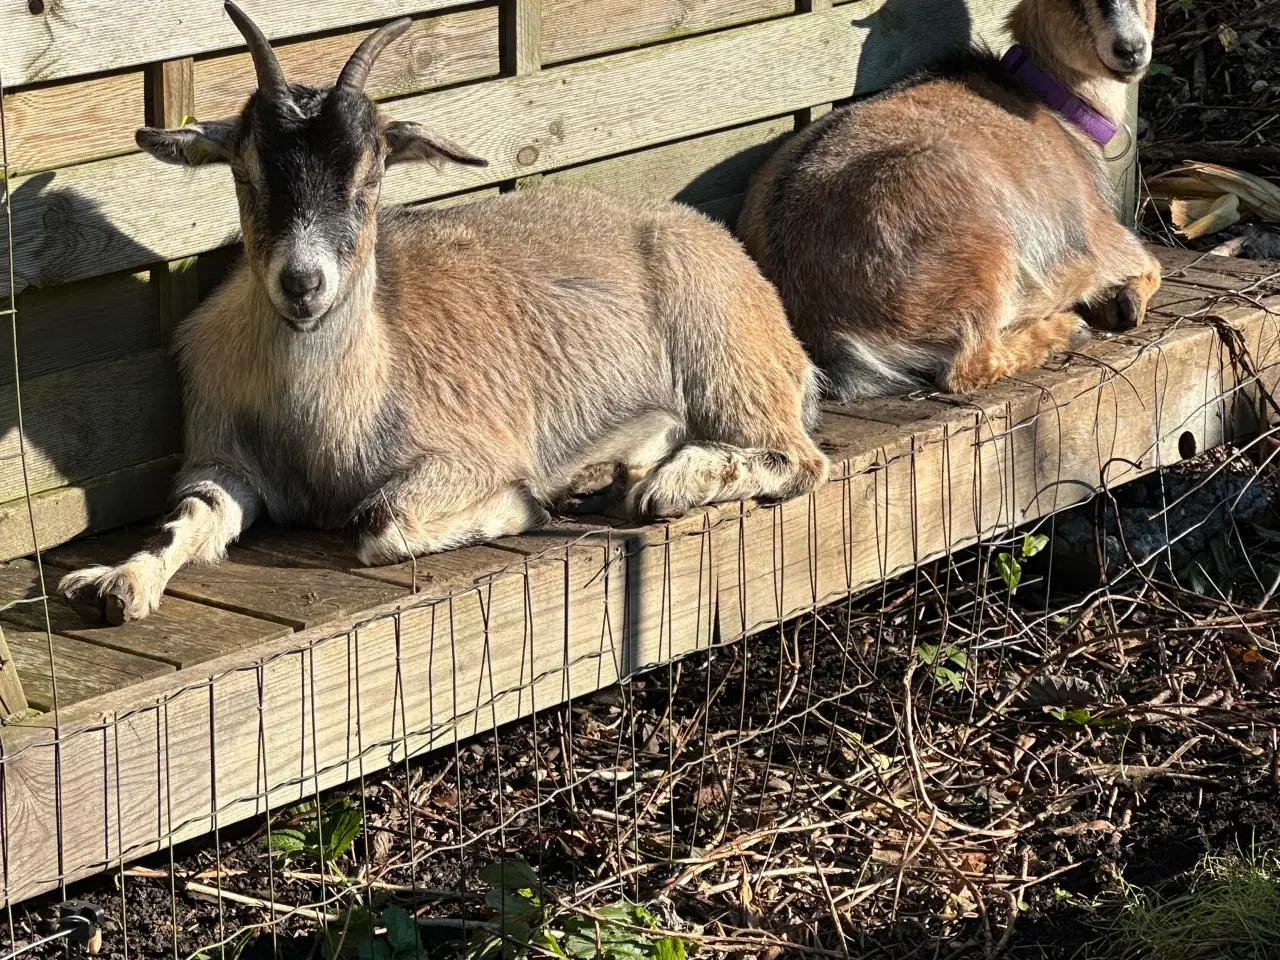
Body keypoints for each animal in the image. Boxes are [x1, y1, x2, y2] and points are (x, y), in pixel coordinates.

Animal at [60, 3, 824, 627]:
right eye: (246, 172)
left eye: (371, 176)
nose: (302, 284)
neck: (326, 417)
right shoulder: (223, 459)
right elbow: (188, 516)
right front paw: (118, 583)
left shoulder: (465, 453)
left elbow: (381, 520)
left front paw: (525, 503)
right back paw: (612, 472)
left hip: (725, 359)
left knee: (798, 458)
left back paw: (660, 487)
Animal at [737, 0, 1167, 401]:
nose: (1130, 50)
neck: (1050, 103)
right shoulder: (1096, 233)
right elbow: (1151, 264)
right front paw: (1123, 300)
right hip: (985, 251)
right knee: (967, 365)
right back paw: (1065, 331)